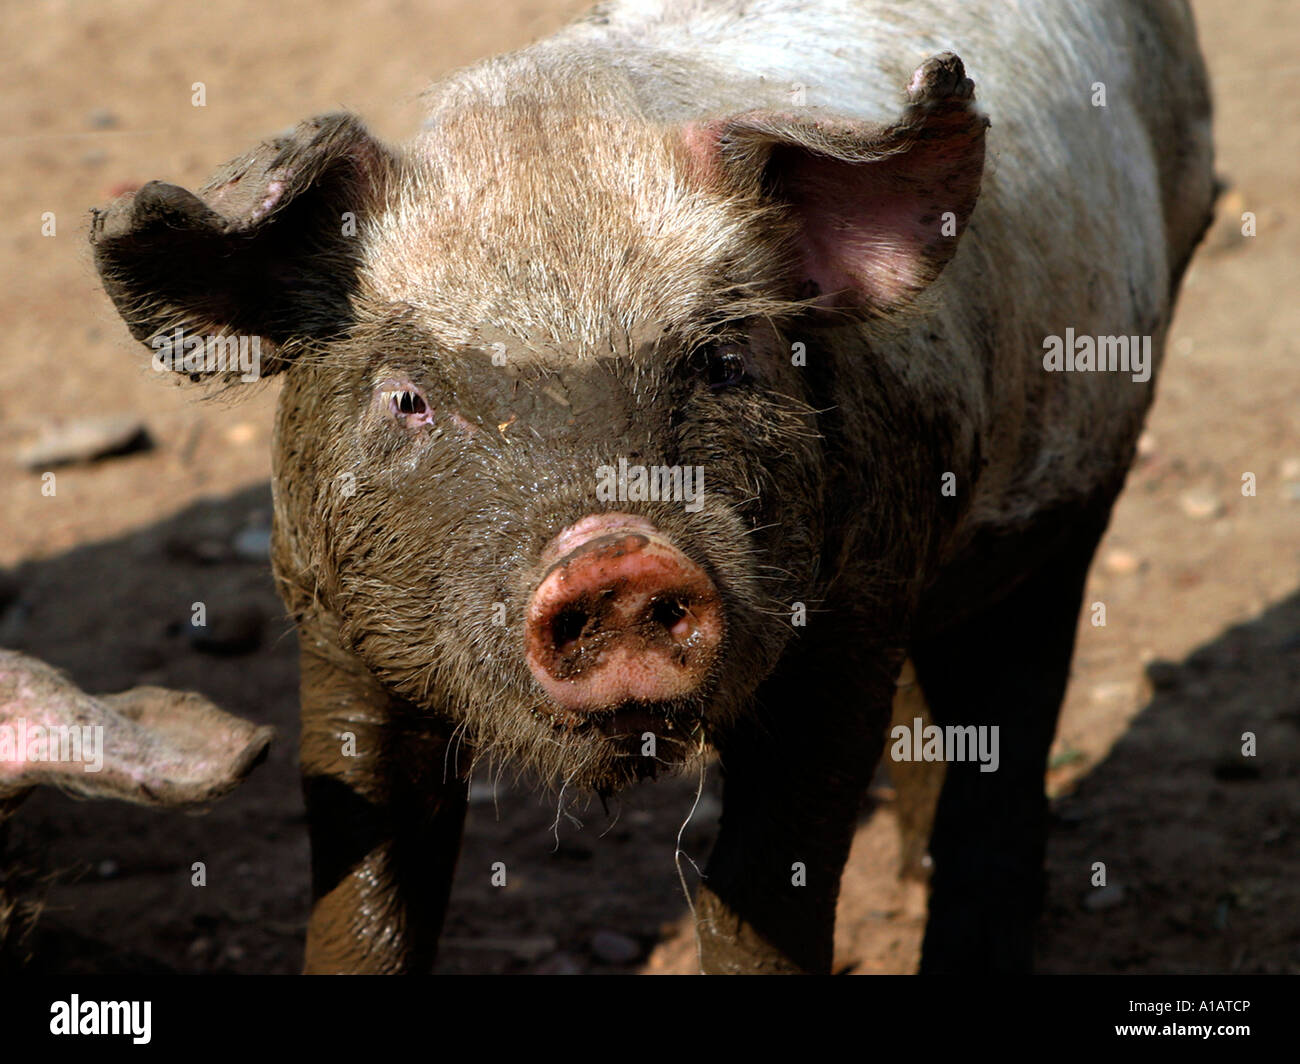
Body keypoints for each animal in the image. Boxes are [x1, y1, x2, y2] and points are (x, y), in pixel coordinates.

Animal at [86, 0, 1211, 967]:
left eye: (720, 360)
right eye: (408, 396)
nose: (616, 553)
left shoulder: (852, 610)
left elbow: (764, 889)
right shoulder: (329, 620)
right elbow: (366, 879)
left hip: (1090, 456)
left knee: (1011, 714)